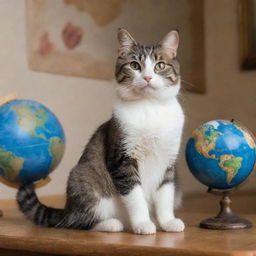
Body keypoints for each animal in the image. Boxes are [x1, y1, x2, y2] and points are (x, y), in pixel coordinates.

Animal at [17, 27, 185, 234]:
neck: (150, 107)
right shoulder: (122, 158)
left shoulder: (169, 161)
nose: (147, 77)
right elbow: (135, 196)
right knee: (77, 221)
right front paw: (143, 224)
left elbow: (166, 195)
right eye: (134, 65)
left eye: (160, 65)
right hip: (84, 182)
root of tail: (67, 208)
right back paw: (111, 224)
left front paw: (168, 222)